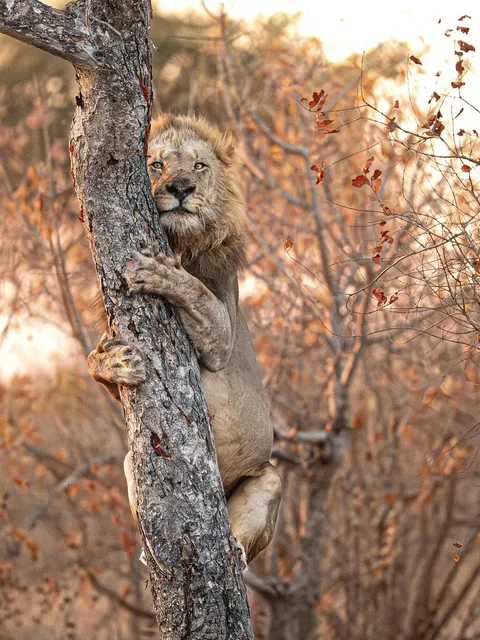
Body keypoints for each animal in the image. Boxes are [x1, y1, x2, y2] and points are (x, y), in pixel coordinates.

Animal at [87, 114, 282, 567]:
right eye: (156, 164)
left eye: (199, 166)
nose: (180, 189)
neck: (179, 241)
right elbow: (92, 358)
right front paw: (115, 363)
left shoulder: (223, 333)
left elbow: (193, 289)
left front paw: (158, 272)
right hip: (131, 461)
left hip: (270, 477)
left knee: (244, 543)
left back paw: (234, 549)